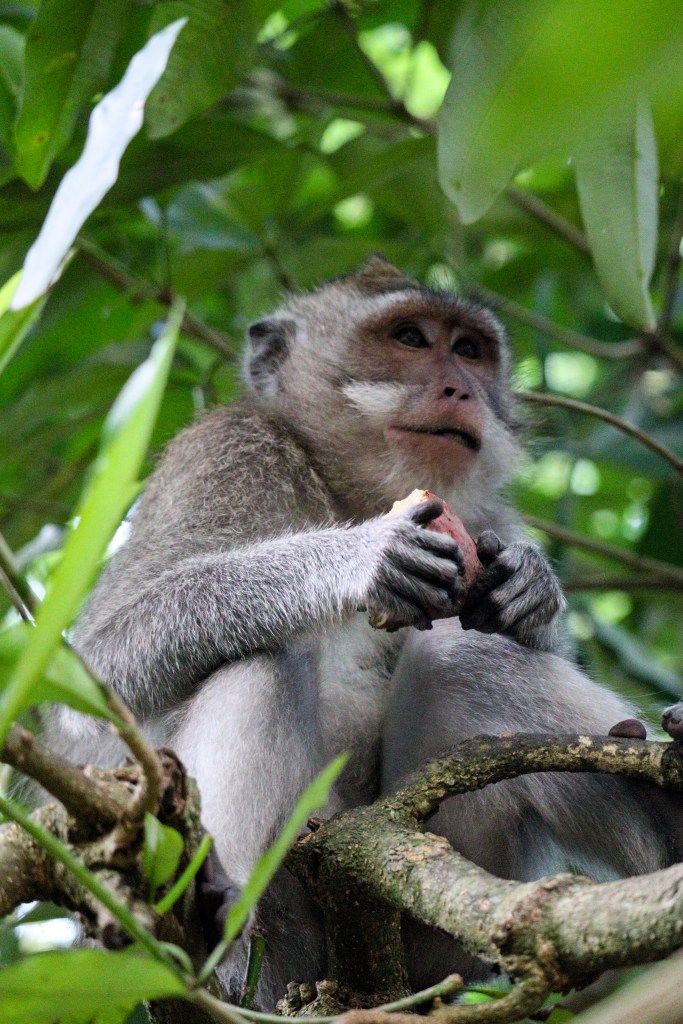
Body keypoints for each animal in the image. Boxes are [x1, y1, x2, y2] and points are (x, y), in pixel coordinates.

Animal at [47, 256, 682, 1006]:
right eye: (409, 338)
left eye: (469, 349)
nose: (458, 387)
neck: (345, 487)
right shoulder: (224, 452)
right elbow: (97, 668)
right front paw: (360, 557)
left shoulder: (490, 516)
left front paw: (533, 591)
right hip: (288, 927)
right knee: (262, 659)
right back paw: (215, 936)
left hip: (439, 920)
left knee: (468, 658)